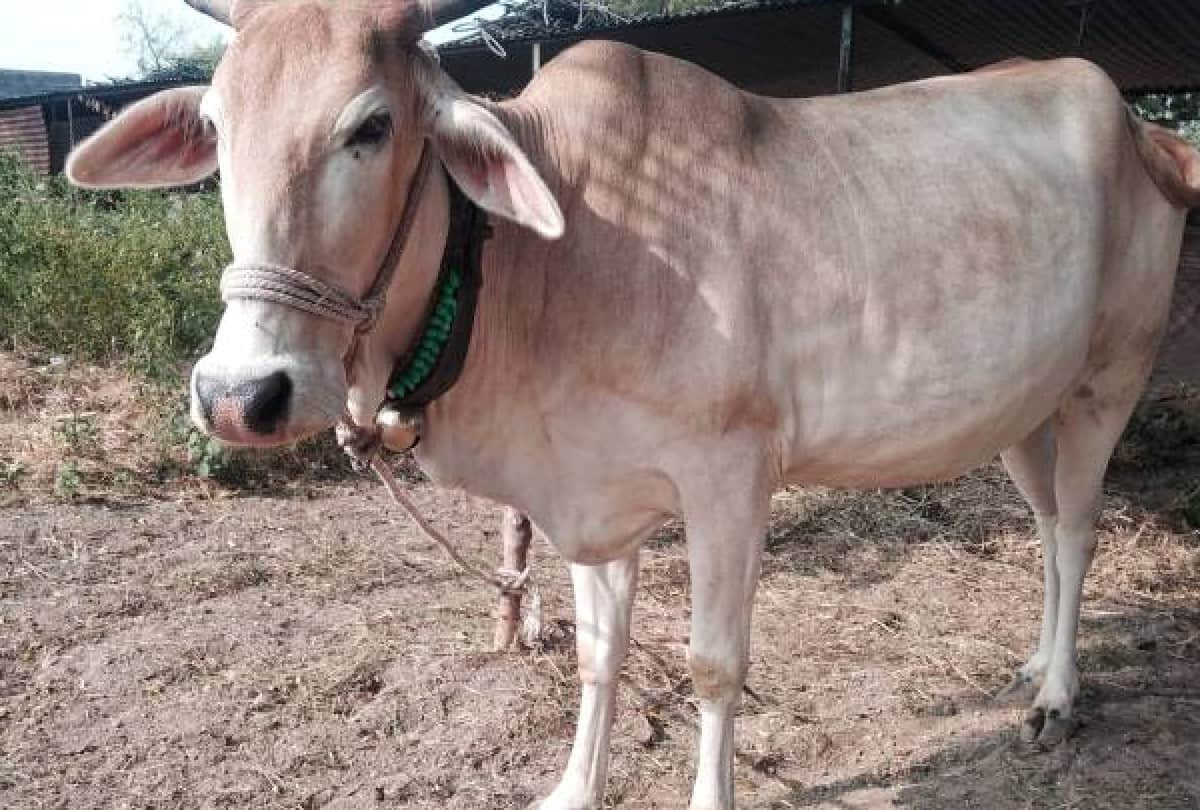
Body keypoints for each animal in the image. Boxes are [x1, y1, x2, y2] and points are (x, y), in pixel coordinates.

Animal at [64, 0, 1200, 806]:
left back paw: (1057, 696)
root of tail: (1143, 127)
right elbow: (596, 655)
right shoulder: (587, 496)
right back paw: (1034, 664)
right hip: (1023, 409)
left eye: (372, 126)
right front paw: (575, 786)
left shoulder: (730, 477)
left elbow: (712, 666)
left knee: (1080, 531)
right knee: (1046, 528)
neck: (551, 261)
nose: (239, 393)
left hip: (1108, 379)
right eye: (217, 127)